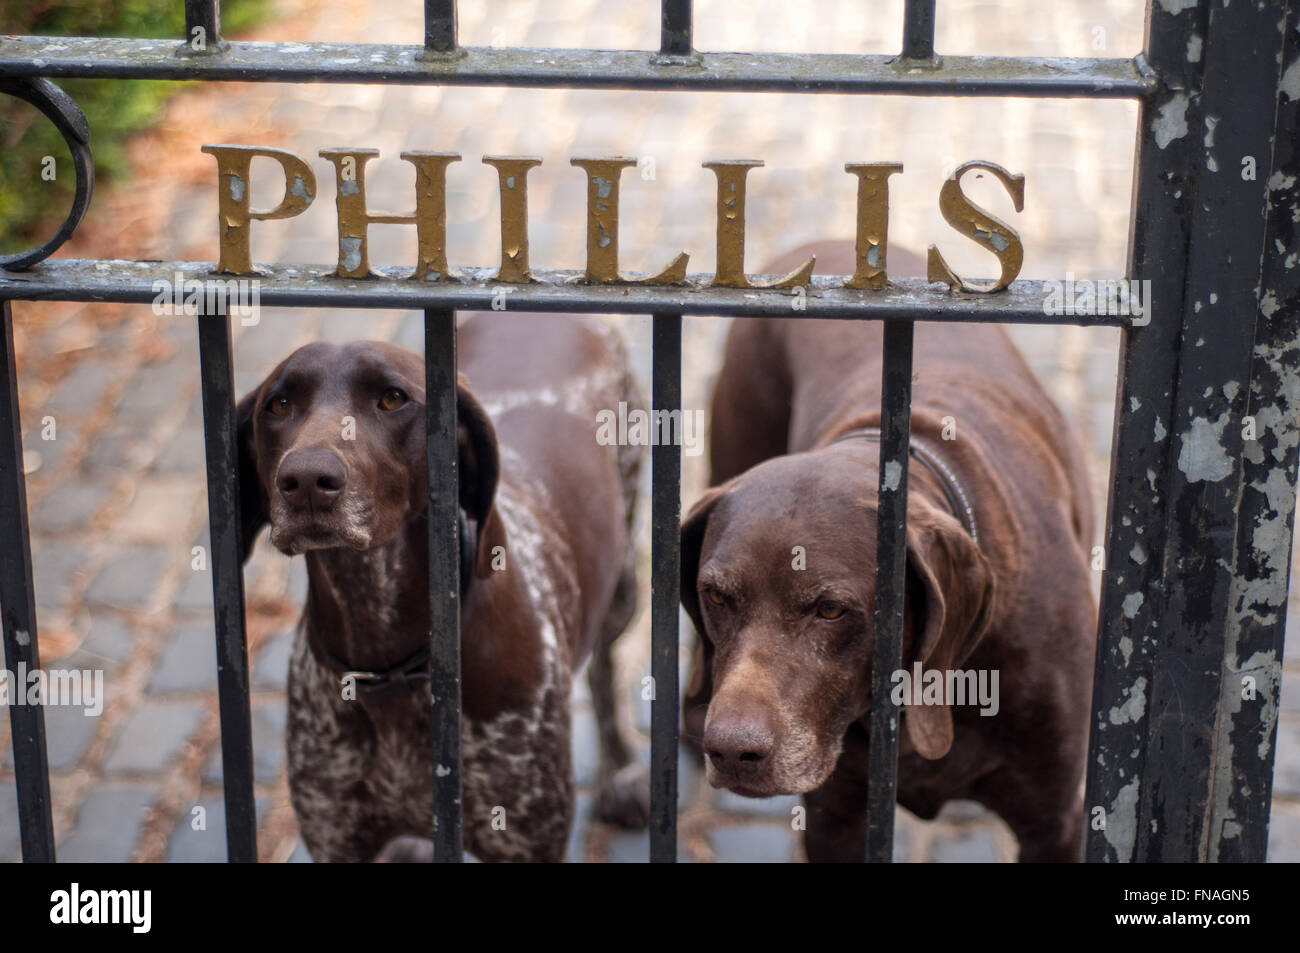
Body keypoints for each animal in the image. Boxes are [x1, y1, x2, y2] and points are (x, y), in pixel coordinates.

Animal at [236, 314, 647, 863]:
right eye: (279, 405)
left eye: (392, 399)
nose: (305, 479)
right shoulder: (335, 836)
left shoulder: (526, 839)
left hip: (623, 588)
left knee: (604, 666)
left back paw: (620, 771)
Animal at [681, 239, 1097, 863]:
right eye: (716, 596)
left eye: (831, 610)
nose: (731, 750)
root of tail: (812, 246)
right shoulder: (834, 817)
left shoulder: (1053, 820)